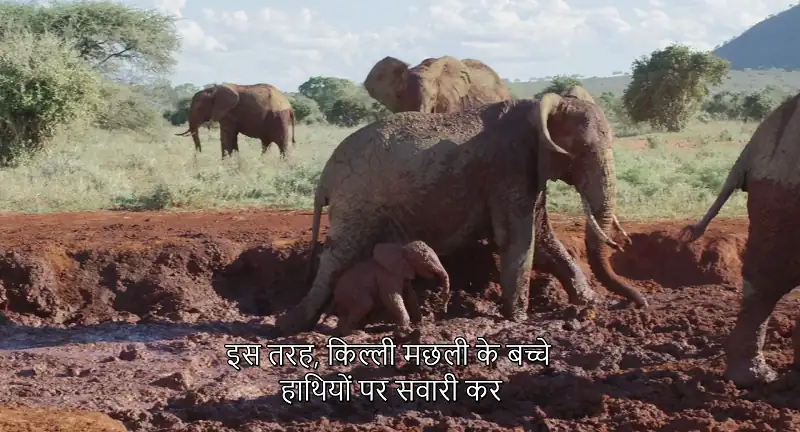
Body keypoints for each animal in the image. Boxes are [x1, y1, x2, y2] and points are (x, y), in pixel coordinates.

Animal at [320, 240, 450, 337]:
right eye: (426, 261)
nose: (444, 310)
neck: (402, 248)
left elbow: (410, 295)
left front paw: (420, 324)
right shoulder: (387, 275)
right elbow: (391, 297)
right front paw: (405, 330)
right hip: (349, 293)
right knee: (366, 303)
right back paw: (354, 333)